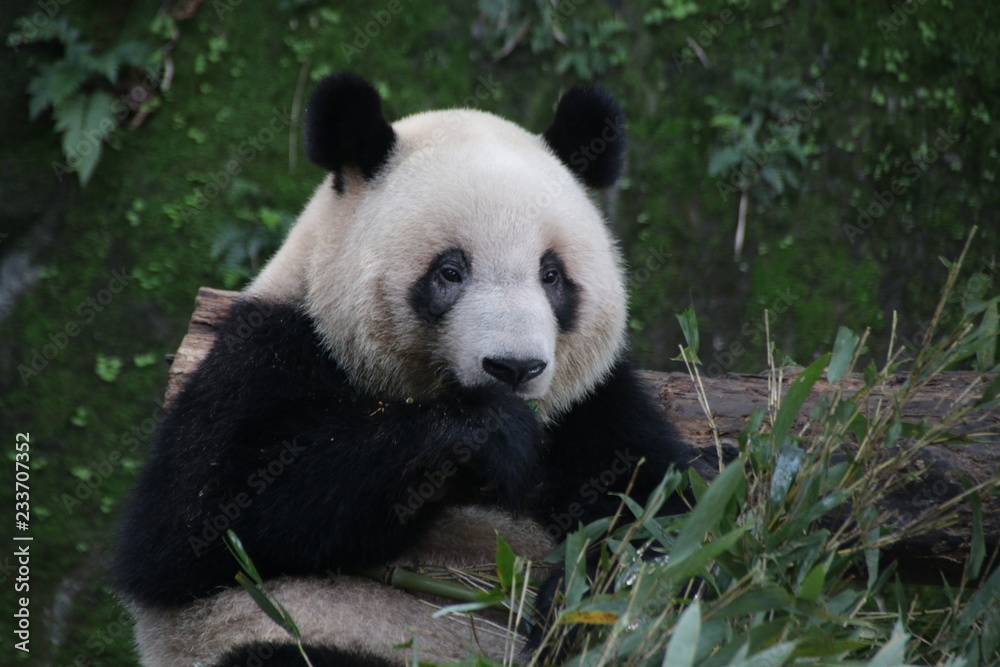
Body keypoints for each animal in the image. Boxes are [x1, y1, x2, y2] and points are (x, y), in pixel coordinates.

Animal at [113, 73, 684, 667]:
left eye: (552, 275)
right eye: (450, 271)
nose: (514, 367)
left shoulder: (594, 407)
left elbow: (662, 515)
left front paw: (579, 603)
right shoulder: (268, 349)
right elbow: (199, 517)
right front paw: (490, 431)